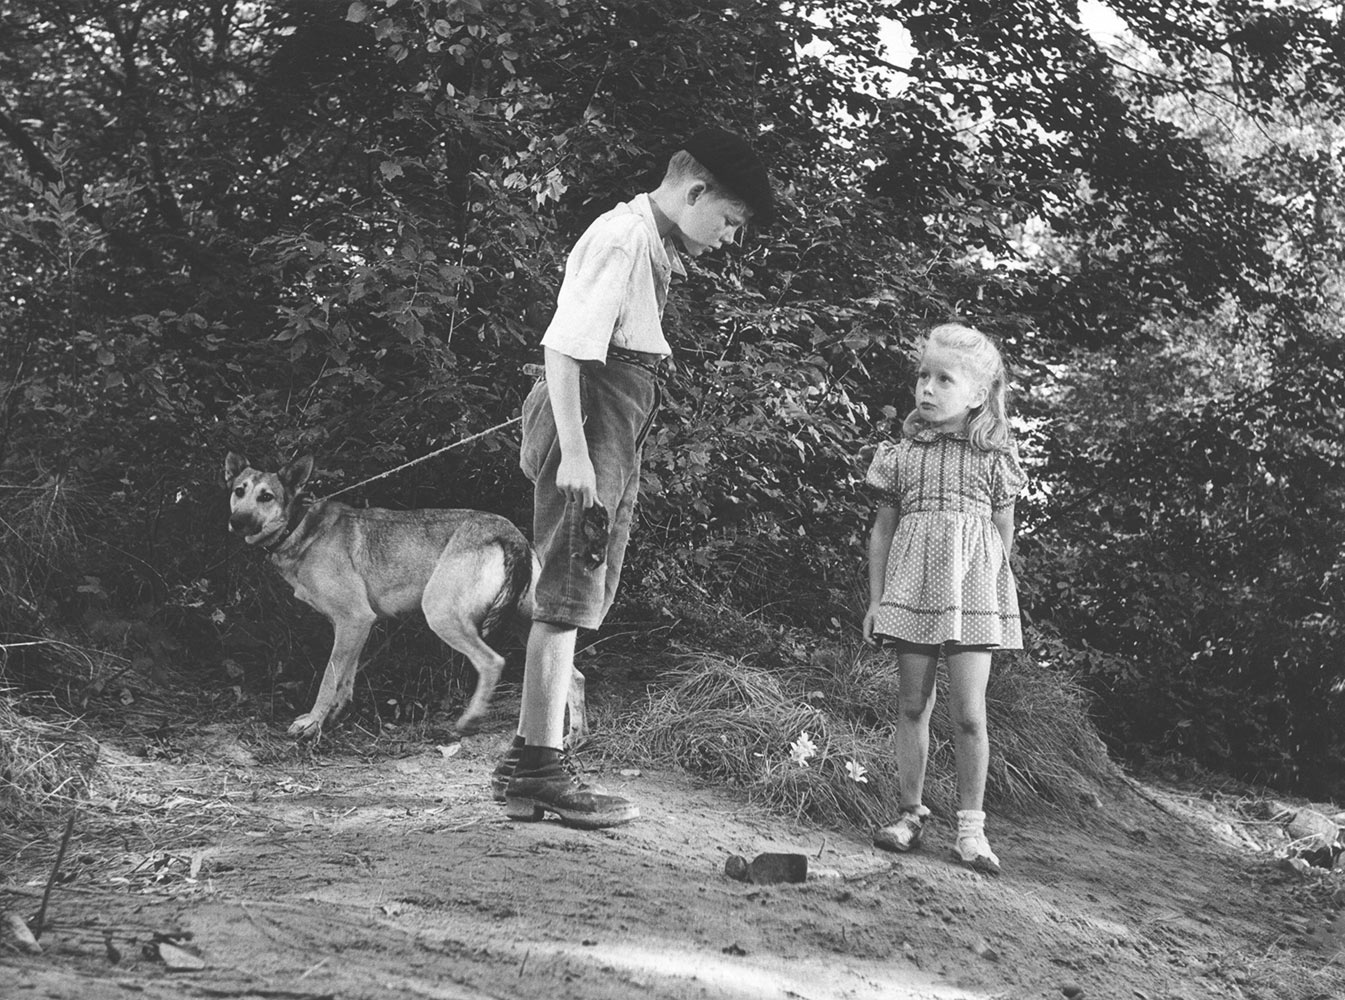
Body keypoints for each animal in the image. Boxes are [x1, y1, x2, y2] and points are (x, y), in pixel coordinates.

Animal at [221, 454, 583, 742]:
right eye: (239, 491)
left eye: (266, 496)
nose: (236, 522)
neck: (299, 528)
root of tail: (508, 530)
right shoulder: (355, 626)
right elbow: (345, 680)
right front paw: (335, 716)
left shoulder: (354, 619)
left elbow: (328, 679)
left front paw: (313, 723)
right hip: (528, 622)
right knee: (574, 677)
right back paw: (575, 738)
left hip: (442, 616)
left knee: (493, 662)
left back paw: (469, 720)